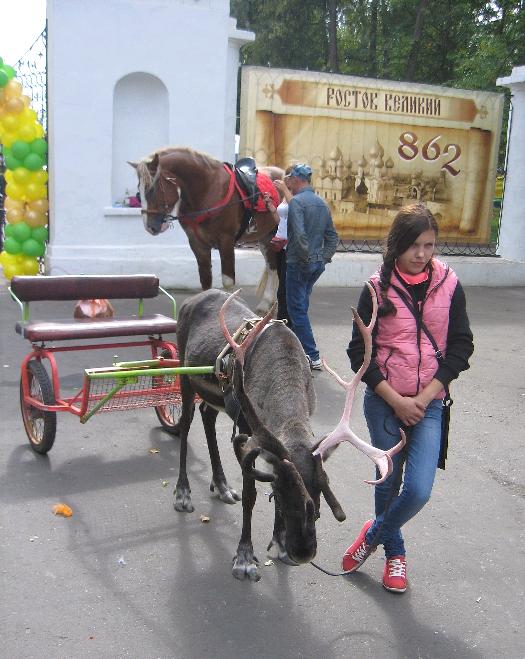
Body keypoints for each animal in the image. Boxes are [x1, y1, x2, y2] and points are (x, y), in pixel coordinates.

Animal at [130, 147, 282, 312]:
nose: (150, 227)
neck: (208, 190)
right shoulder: (197, 244)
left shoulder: (226, 241)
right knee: (272, 266)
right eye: (139, 192)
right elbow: (205, 280)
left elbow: (227, 281)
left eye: (152, 189)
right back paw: (267, 302)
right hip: (265, 238)